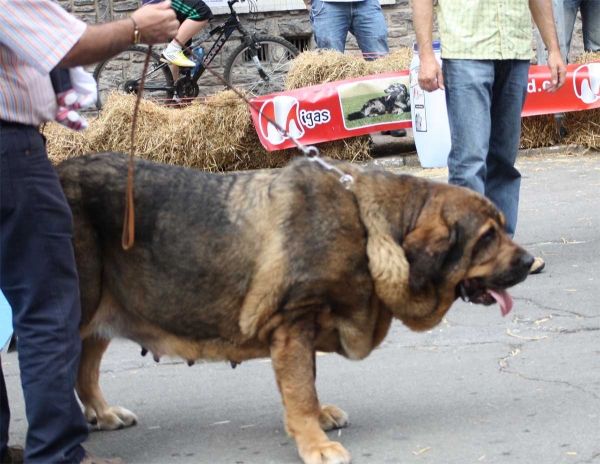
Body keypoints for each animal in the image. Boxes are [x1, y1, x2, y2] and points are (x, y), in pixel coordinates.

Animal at [58, 153, 532, 464]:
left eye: (502, 231)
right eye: (488, 237)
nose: (531, 262)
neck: (368, 227)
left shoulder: (303, 328)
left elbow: (309, 382)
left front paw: (318, 418)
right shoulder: (293, 323)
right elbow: (301, 388)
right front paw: (314, 441)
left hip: (101, 308)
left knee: (85, 367)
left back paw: (102, 413)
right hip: (80, 303)